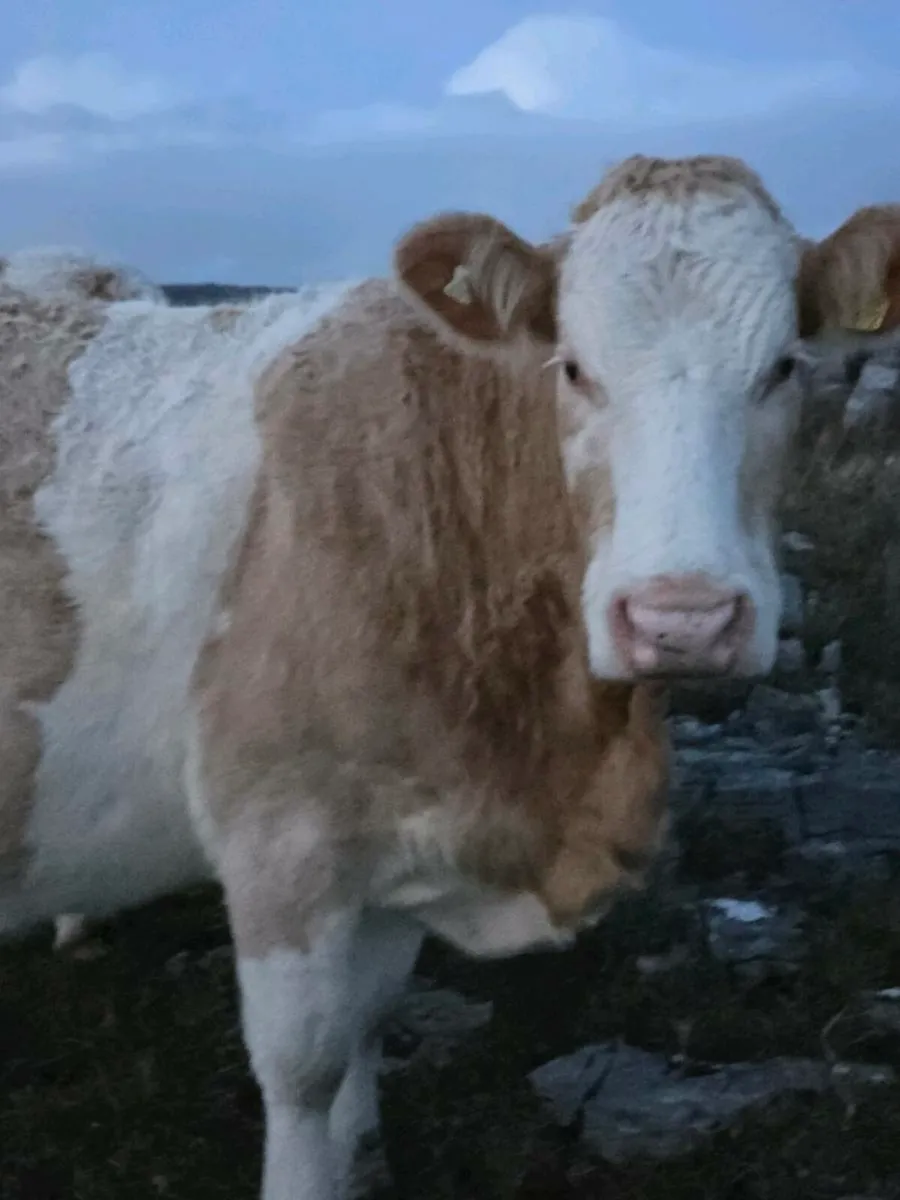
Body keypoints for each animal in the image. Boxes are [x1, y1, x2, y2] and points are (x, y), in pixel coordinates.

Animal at [0, 153, 897, 1200]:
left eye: (784, 366)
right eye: (574, 367)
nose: (682, 617)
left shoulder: (403, 835)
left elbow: (369, 1021)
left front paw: (363, 1157)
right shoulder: (279, 836)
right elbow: (303, 1067)